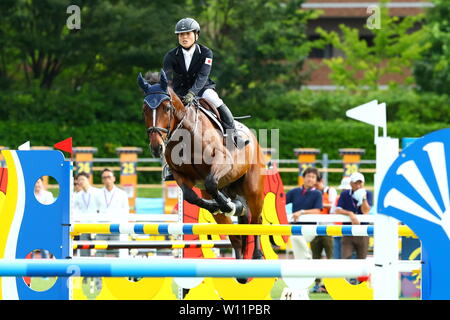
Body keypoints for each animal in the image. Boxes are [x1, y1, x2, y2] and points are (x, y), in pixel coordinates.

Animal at [139, 70, 266, 260]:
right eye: (144, 110)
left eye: (167, 108)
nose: (156, 148)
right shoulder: (180, 175)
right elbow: (191, 196)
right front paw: (217, 206)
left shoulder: (222, 163)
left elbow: (211, 182)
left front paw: (226, 204)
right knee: (236, 234)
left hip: (253, 189)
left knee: (256, 220)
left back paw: (257, 254)